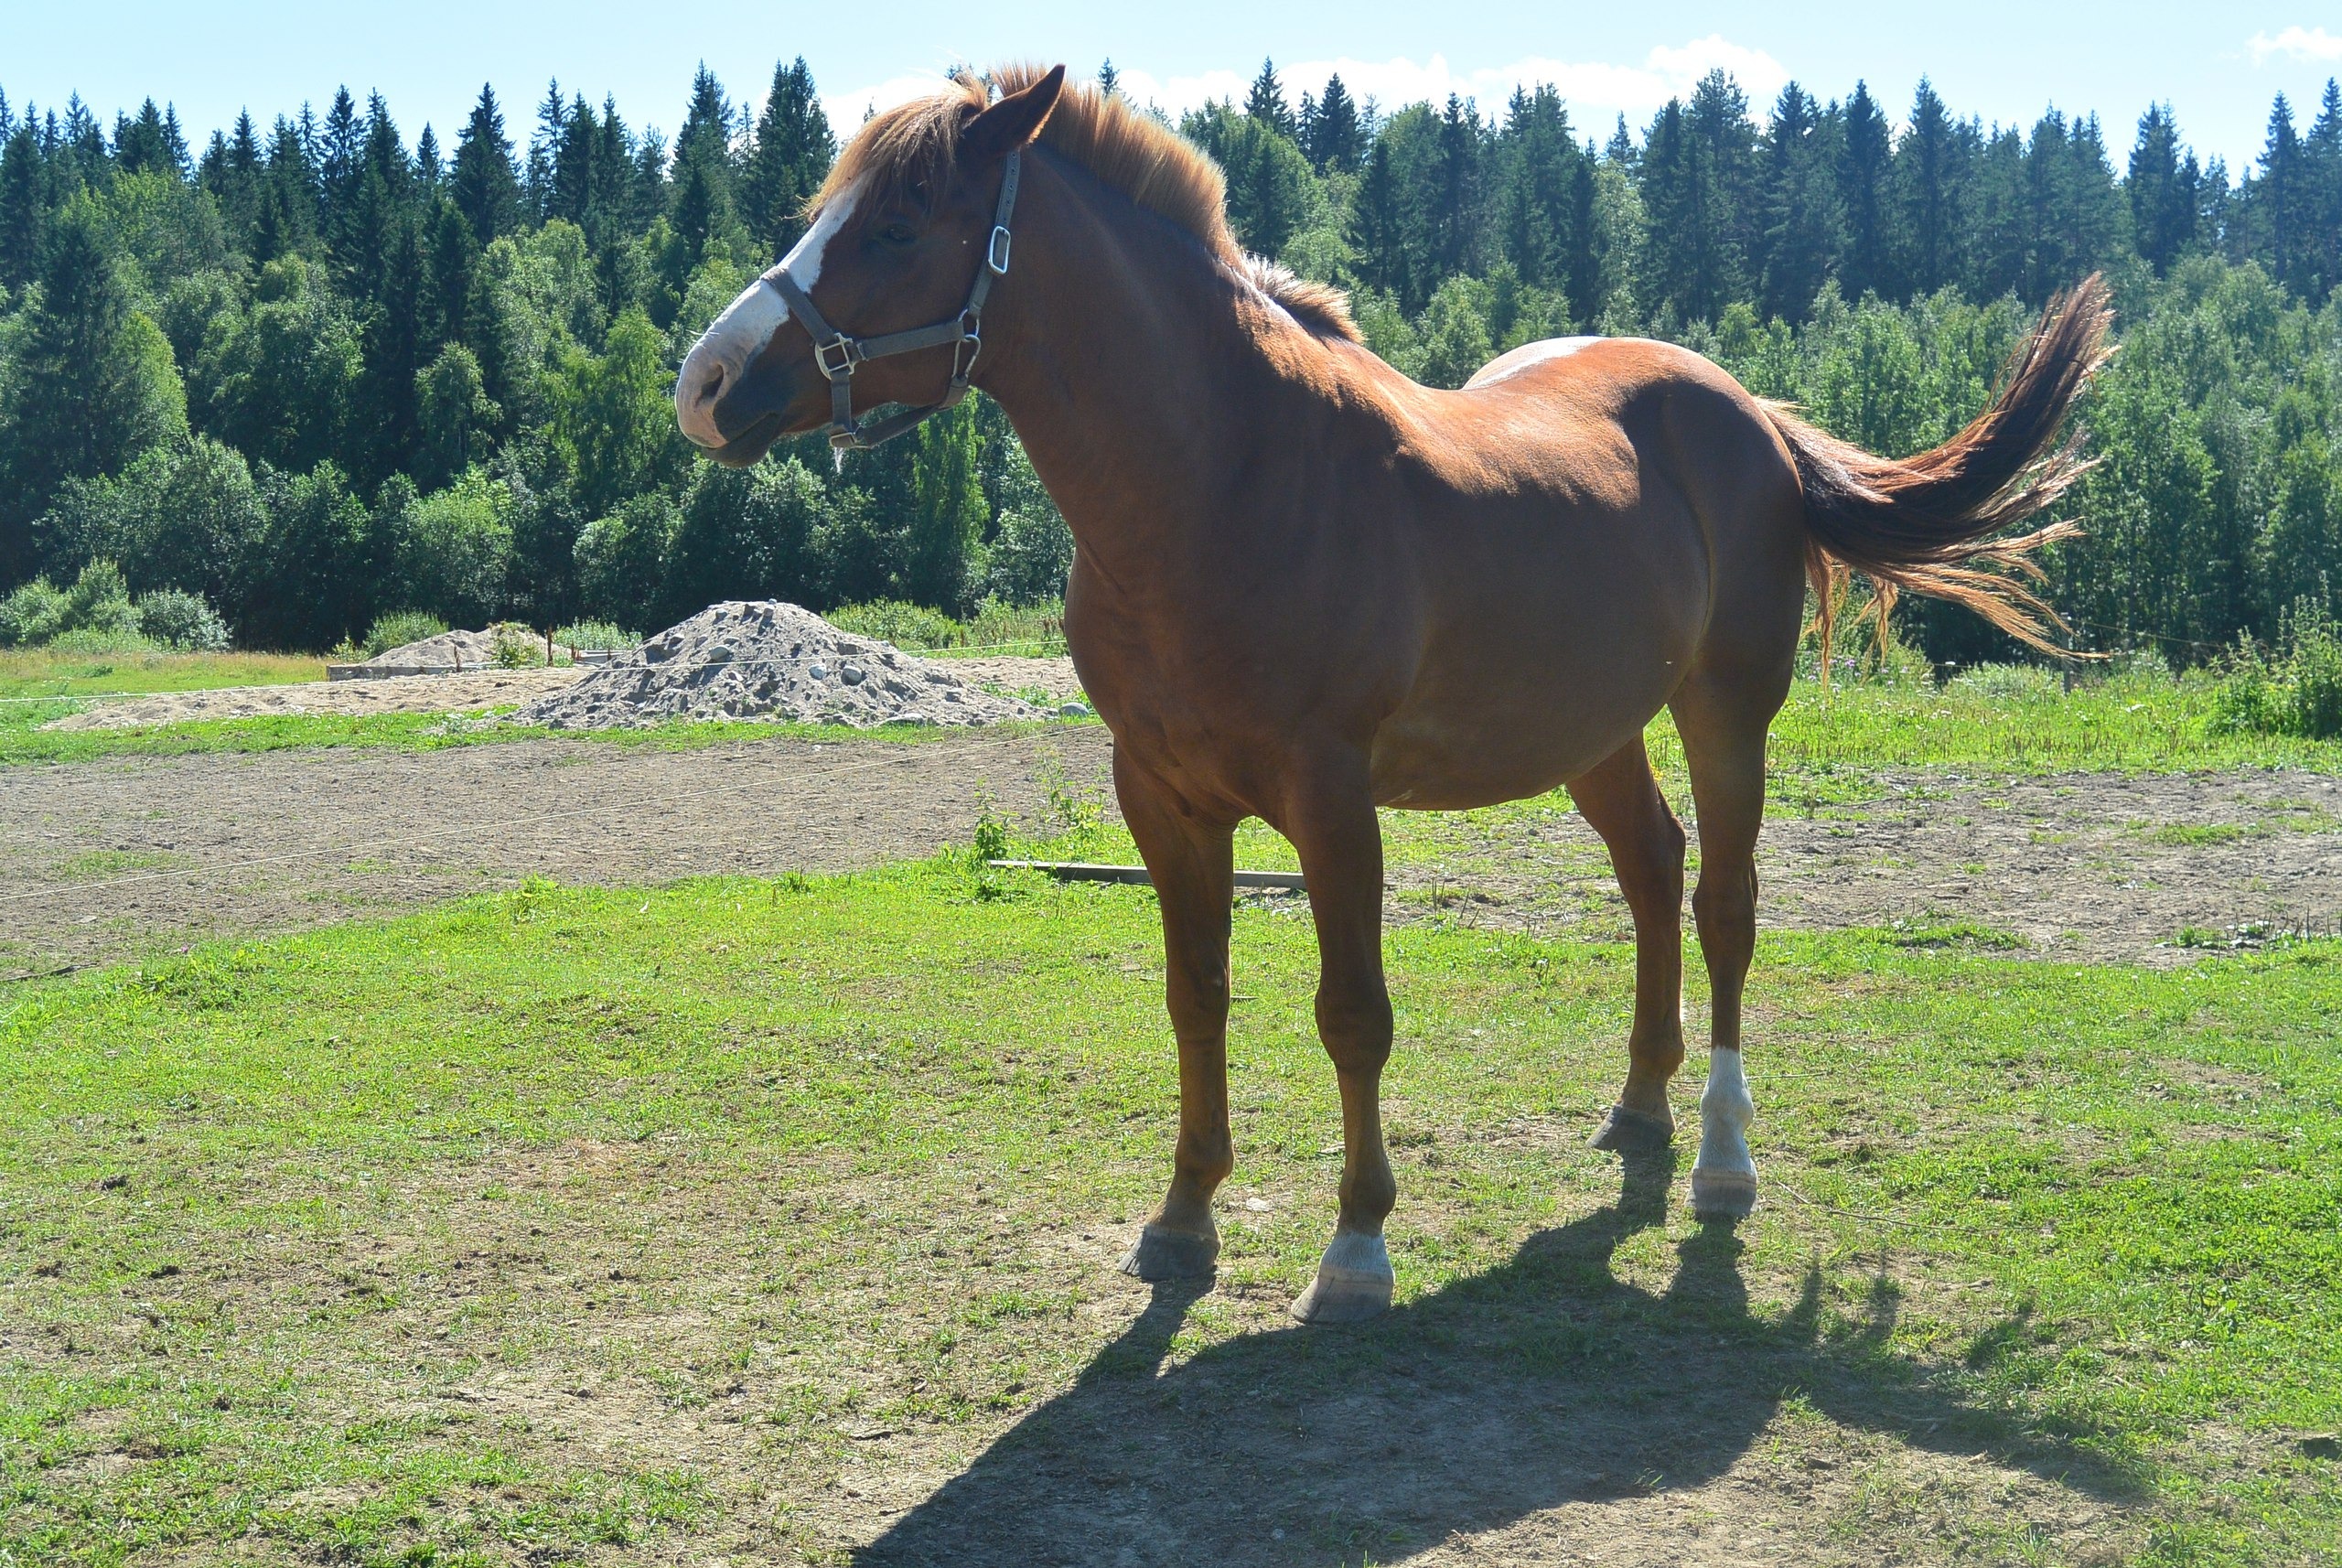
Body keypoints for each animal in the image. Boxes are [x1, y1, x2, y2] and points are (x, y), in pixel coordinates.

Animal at [674, 64, 2111, 1324]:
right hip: (1593, 730)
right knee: (1653, 869)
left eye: (898, 224)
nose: (706, 384)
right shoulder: (1160, 796)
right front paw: (1182, 1218)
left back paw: (1719, 1158)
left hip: (1723, 712)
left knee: (1724, 908)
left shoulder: (1331, 797)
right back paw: (1638, 1108)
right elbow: (1196, 996)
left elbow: (1353, 1015)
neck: (1225, 477)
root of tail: (1746, 409)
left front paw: (1357, 1247)